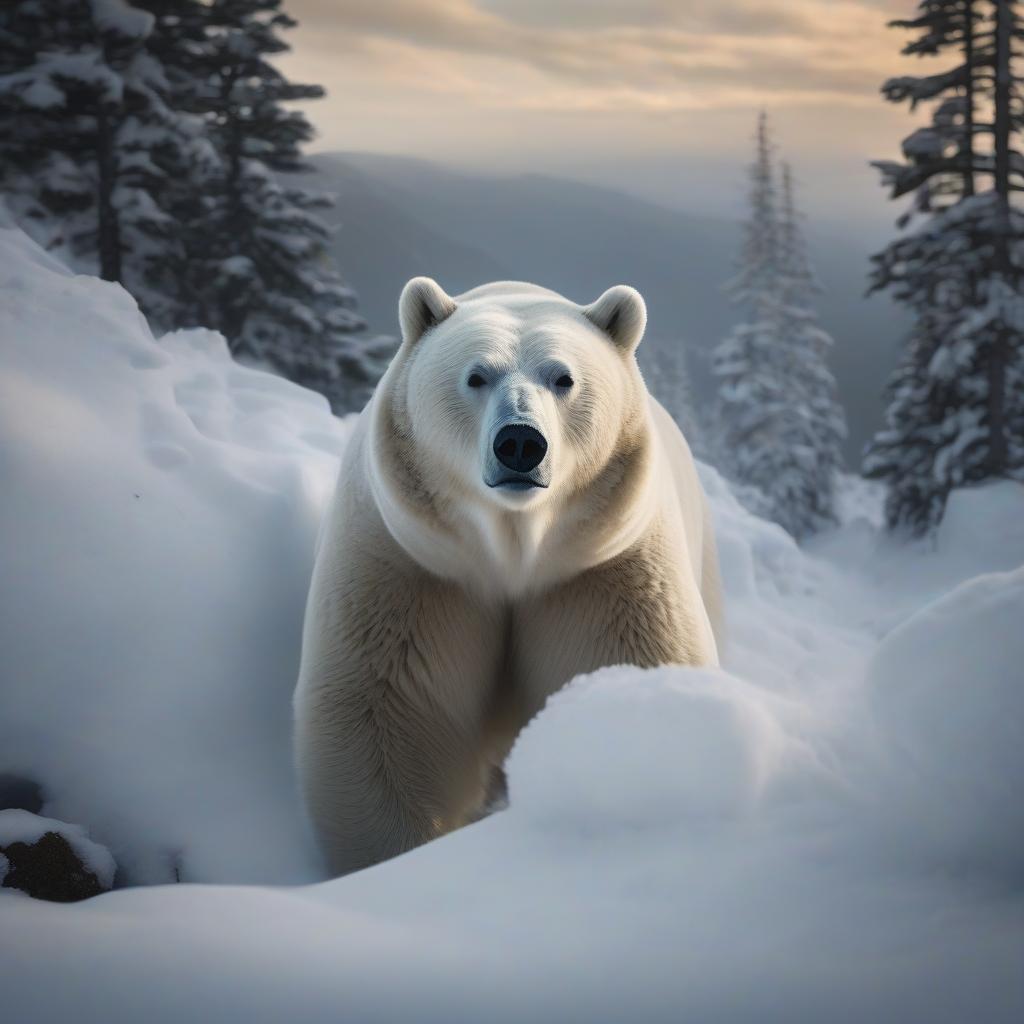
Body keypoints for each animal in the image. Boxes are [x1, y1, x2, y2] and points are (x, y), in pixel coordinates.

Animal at [294, 282, 720, 880]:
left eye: (563, 378)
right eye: (476, 375)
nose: (520, 442)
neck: (513, 551)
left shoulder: (601, 572)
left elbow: (629, 679)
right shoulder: (414, 567)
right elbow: (382, 710)